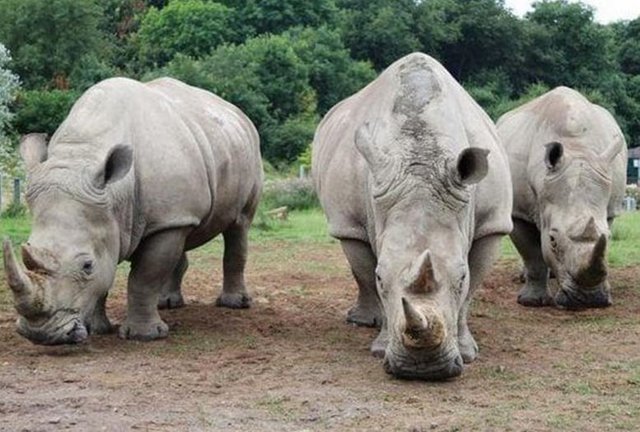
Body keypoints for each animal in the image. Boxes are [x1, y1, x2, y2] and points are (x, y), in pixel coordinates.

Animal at [2, 77, 262, 344]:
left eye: (87, 265)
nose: (39, 333)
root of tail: (236, 112)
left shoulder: (158, 221)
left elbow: (144, 277)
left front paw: (144, 336)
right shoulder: (126, 218)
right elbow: (106, 278)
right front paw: (97, 329)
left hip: (248, 151)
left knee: (239, 225)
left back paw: (233, 304)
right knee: (184, 234)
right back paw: (167, 303)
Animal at [312, 52, 512, 380]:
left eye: (461, 276)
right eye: (381, 276)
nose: (423, 368)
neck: (422, 157)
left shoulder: (492, 224)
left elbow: (471, 290)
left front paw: (468, 352)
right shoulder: (350, 220)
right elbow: (367, 273)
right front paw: (380, 347)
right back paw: (361, 322)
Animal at [498, 86, 628, 308]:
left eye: (610, 238)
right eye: (552, 240)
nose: (589, 300)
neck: (576, 147)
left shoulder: (609, 210)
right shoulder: (517, 211)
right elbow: (532, 255)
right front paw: (531, 302)